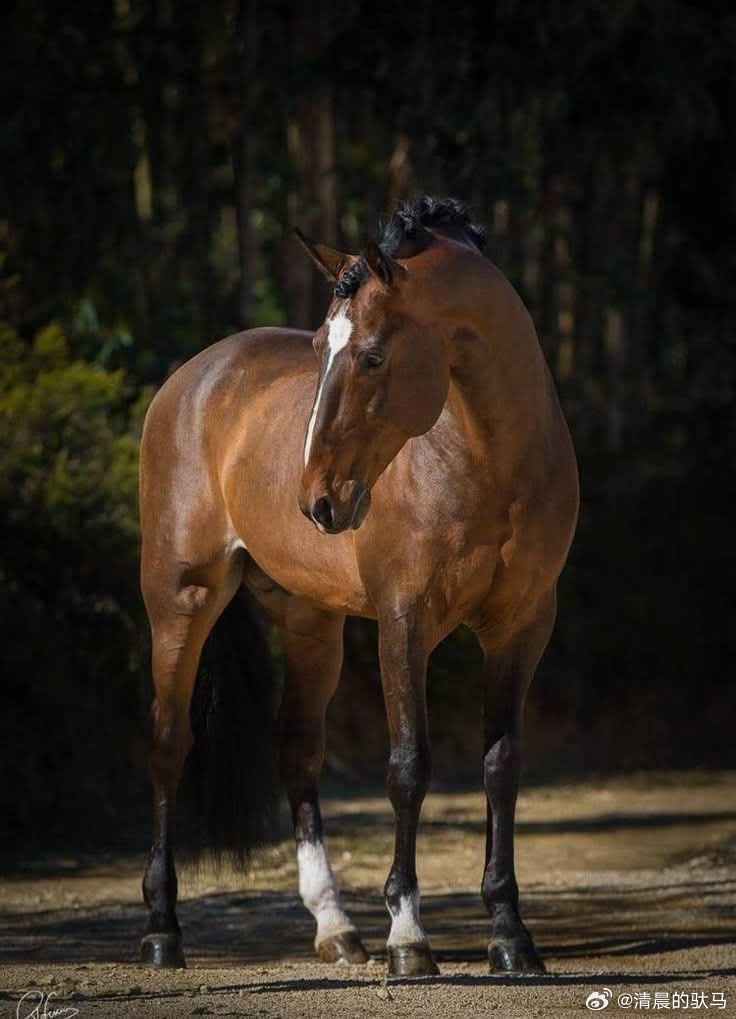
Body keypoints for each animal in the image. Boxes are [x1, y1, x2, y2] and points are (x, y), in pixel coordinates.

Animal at [137, 194, 579, 976]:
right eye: (320, 348)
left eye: (372, 355)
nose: (317, 502)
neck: (490, 464)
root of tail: (191, 379)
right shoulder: (405, 621)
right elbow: (408, 766)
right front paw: (410, 936)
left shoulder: (524, 625)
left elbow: (502, 765)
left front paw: (509, 935)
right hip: (180, 602)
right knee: (168, 742)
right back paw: (163, 930)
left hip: (310, 621)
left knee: (296, 748)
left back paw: (336, 925)